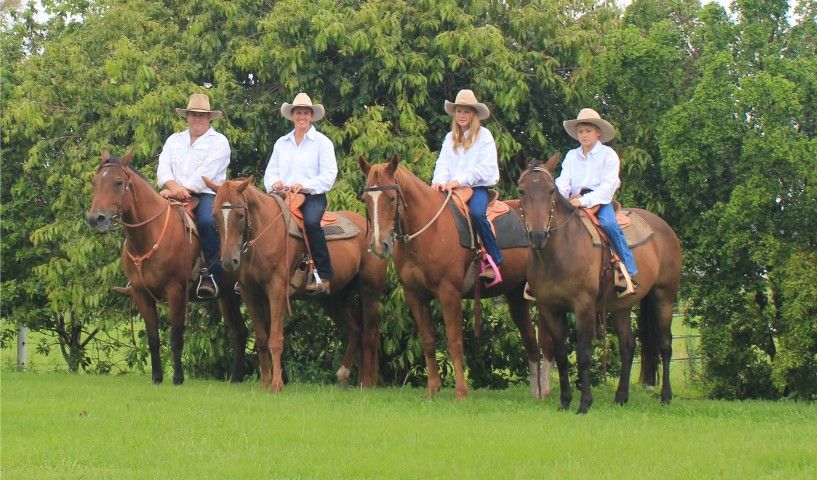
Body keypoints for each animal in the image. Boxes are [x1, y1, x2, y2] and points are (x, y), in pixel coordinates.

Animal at [86, 151, 248, 385]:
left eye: (118, 182)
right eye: (95, 182)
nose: (94, 219)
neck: (150, 235)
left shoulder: (176, 292)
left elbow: (176, 336)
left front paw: (178, 378)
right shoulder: (141, 294)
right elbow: (153, 338)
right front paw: (156, 377)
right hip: (227, 297)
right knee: (239, 333)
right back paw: (236, 378)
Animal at [203, 176, 387, 393]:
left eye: (240, 215)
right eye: (214, 216)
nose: (228, 262)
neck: (264, 234)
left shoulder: (276, 290)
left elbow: (275, 339)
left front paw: (276, 385)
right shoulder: (250, 293)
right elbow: (262, 338)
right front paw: (264, 383)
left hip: (369, 291)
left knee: (370, 333)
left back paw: (366, 382)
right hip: (332, 298)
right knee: (355, 329)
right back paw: (343, 376)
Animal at [358, 155, 553, 400]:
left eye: (392, 198)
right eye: (366, 199)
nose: (378, 245)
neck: (428, 232)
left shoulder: (449, 293)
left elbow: (454, 341)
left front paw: (461, 391)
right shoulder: (414, 295)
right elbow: (428, 341)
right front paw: (432, 389)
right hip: (516, 296)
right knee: (530, 341)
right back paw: (538, 391)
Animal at [517, 154, 682, 413]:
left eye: (551, 190)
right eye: (521, 190)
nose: (538, 235)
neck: (559, 254)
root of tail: (664, 227)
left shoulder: (583, 307)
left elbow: (583, 354)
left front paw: (584, 403)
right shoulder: (549, 308)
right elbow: (561, 355)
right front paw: (565, 401)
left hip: (663, 296)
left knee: (665, 344)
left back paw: (665, 396)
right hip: (621, 306)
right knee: (628, 346)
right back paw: (621, 397)